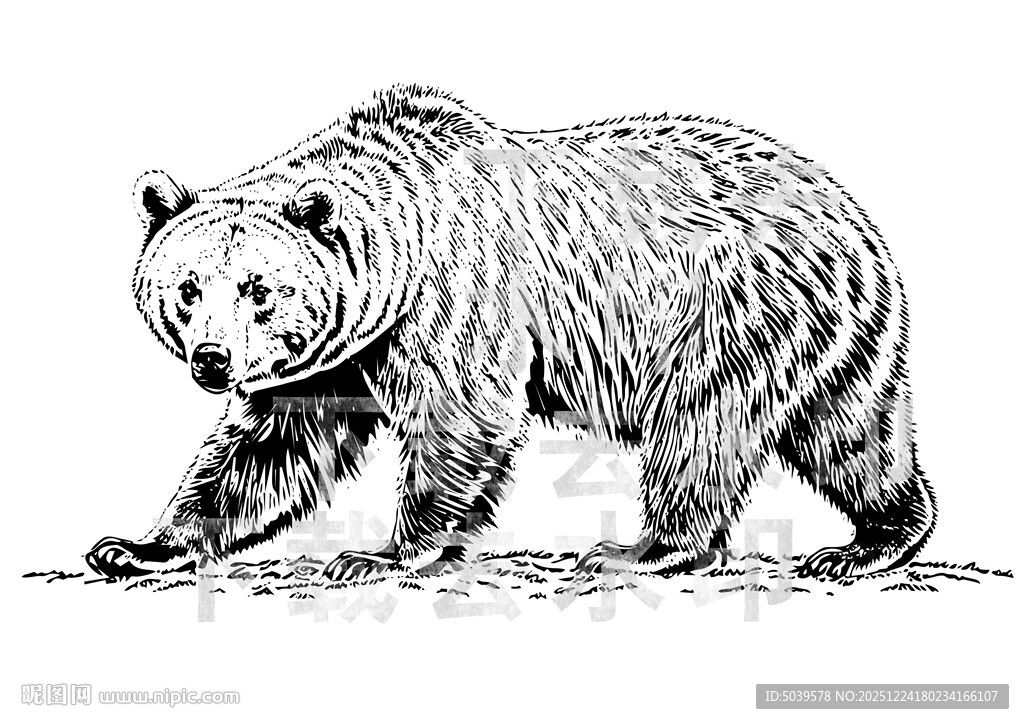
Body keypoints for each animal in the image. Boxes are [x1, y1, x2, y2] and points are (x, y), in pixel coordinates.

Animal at [87, 83, 936, 582]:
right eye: (186, 288)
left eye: (259, 290)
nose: (212, 360)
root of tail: (854, 214)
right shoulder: (336, 354)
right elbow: (269, 450)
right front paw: (135, 545)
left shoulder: (456, 297)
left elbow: (461, 415)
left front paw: (381, 551)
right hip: (834, 336)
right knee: (850, 436)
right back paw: (874, 537)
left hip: (728, 313)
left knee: (700, 430)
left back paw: (644, 547)